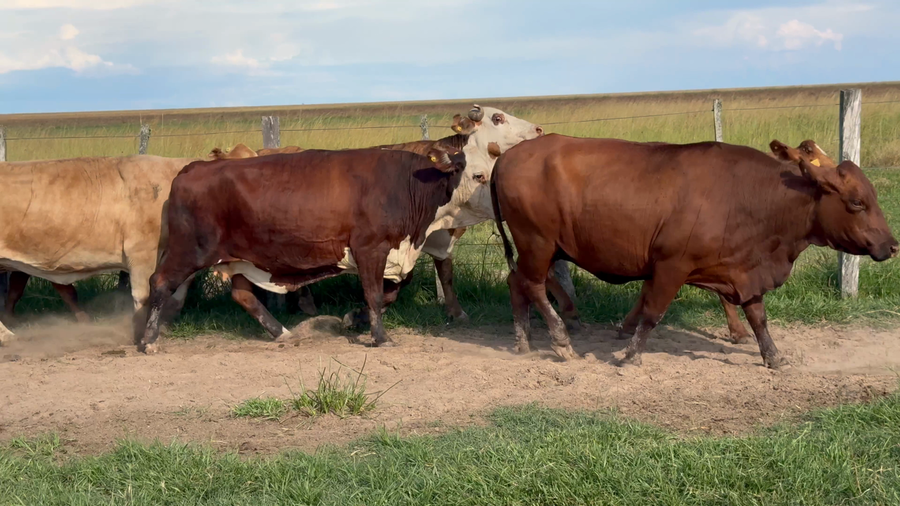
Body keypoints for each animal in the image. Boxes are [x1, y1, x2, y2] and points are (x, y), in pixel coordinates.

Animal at [139, 147, 467, 353]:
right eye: (465, 169)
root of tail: (193, 167)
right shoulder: (370, 248)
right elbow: (374, 295)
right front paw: (380, 337)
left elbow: (390, 294)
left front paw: (353, 319)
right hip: (189, 250)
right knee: (160, 283)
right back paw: (148, 340)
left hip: (241, 258)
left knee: (242, 295)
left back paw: (282, 332)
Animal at [491, 135, 898, 368]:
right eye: (857, 202)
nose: (892, 245)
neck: (750, 196)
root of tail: (507, 156)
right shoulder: (671, 265)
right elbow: (652, 313)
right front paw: (630, 355)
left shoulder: (744, 269)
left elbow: (758, 317)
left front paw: (773, 356)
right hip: (537, 242)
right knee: (533, 286)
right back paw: (560, 341)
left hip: (541, 247)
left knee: (516, 283)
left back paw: (523, 340)